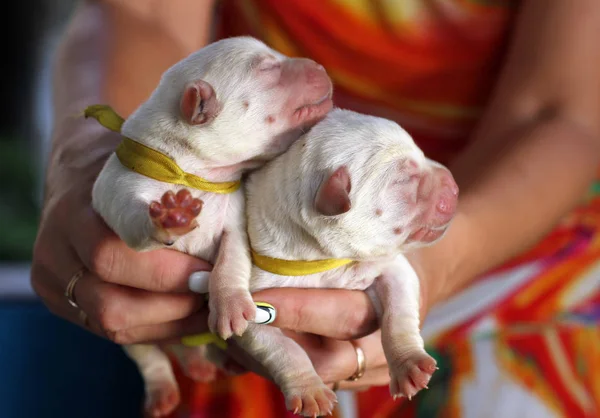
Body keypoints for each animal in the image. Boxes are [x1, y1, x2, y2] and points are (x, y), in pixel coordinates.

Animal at [90, 37, 332, 416]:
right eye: (267, 68)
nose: (321, 66)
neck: (191, 172)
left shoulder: (233, 220)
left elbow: (232, 259)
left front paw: (230, 305)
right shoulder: (120, 188)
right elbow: (131, 218)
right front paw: (169, 217)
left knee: (184, 348)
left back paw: (202, 363)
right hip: (133, 337)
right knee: (151, 357)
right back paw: (163, 392)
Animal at [241, 108, 458, 418]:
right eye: (404, 180)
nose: (453, 183)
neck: (325, 259)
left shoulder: (393, 268)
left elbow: (398, 315)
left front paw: (409, 364)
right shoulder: (253, 303)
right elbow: (282, 347)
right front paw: (309, 390)